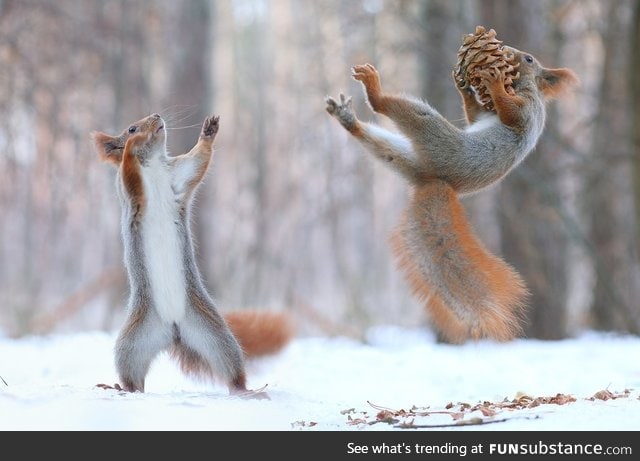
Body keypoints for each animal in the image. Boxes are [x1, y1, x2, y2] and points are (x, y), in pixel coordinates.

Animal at [91, 113, 294, 394]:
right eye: (131, 128)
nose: (156, 117)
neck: (153, 165)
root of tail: (173, 329)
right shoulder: (129, 191)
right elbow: (130, 173)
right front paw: (132, 146)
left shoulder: (178, 176)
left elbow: (198, 161)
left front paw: (209, 132)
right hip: (132, 343)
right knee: (133, 378)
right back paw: (121, 388)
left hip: (214, 334)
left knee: (231, 370)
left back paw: (247, 391)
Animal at [328, 35, 576, 342]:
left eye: (529, 59)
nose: (507, 51)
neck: (523, 86)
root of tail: (435, 180)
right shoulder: (488, 113)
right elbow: (475, 116)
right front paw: (465, 88)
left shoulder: (527, 111)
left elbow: (510, 113)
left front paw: (494, 83)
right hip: (404, 157)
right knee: (381, 145)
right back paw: (348, 119)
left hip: (435, 135)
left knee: (390, 108)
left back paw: (374, 91)